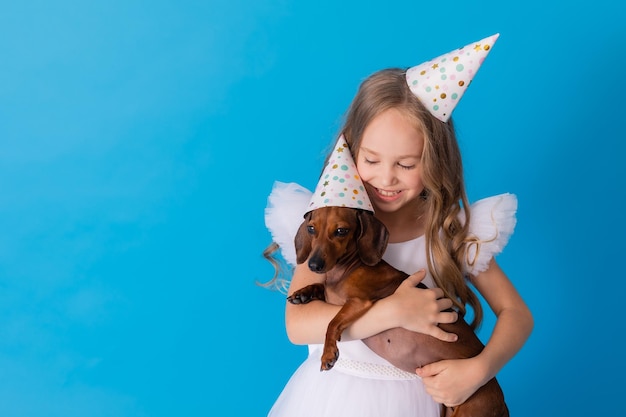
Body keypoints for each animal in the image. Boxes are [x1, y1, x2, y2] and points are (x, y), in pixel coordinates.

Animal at [288, 205, 508, 416]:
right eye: (311, 229)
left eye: (341, 231)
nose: (314, 265)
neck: (345, 269)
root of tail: (502, 404)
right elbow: (320, 289)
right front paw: (303, 293)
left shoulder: (358, 302)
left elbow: (332, 323)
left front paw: (328, 353)